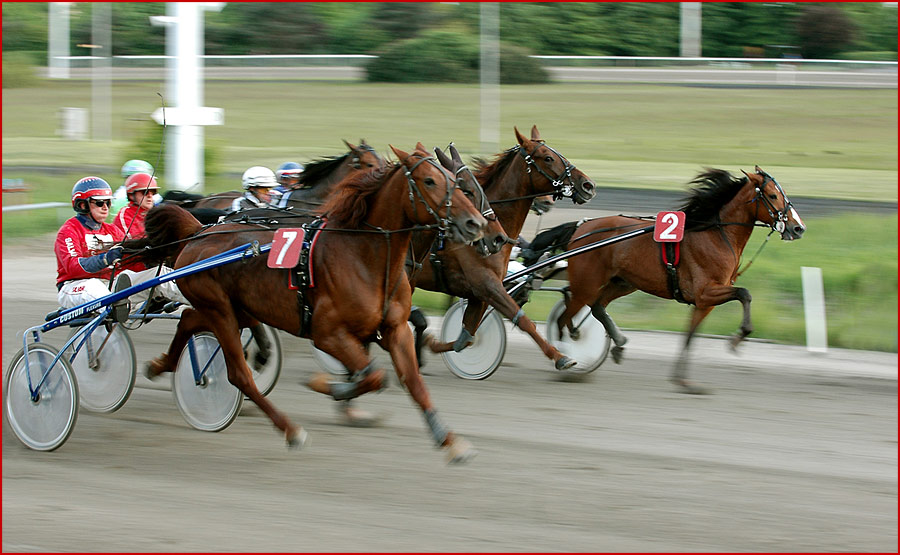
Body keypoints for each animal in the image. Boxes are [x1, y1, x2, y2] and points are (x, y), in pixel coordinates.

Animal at [126, 146, 486, 462]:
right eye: (429, 181)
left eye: (454, 181)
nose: (476, 224)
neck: (365, 256)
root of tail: (198, 231)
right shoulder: (326, 333)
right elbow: (373, 376)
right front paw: (332, 387)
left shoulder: (394, 328)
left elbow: (413, 382)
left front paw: (450, 441)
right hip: (220, 310)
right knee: (238, 374)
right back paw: (289, 429)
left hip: (236, 309)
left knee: (189, 319)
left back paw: (160, 365)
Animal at [410, 127, 596, 374]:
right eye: (548, 158)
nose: (588, 185)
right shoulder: (485, 284)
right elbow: (523, 320)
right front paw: (561, 357)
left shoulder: (479, 291)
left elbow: (466, 338)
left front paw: (432, 343)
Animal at [556, 166, 800, 396]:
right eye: (772, 195)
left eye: (783, 193)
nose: (798, 228)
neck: (715, 235)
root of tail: (581, 227)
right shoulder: (706, 292)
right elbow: (744, 293)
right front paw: (739, 336)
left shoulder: (704, 303)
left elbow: (690, 336)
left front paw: (684, 382)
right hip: (586, 284)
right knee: (564, 316)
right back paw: (565, 356)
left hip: (623, 283)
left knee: (596, 307)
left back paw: (617, 344)